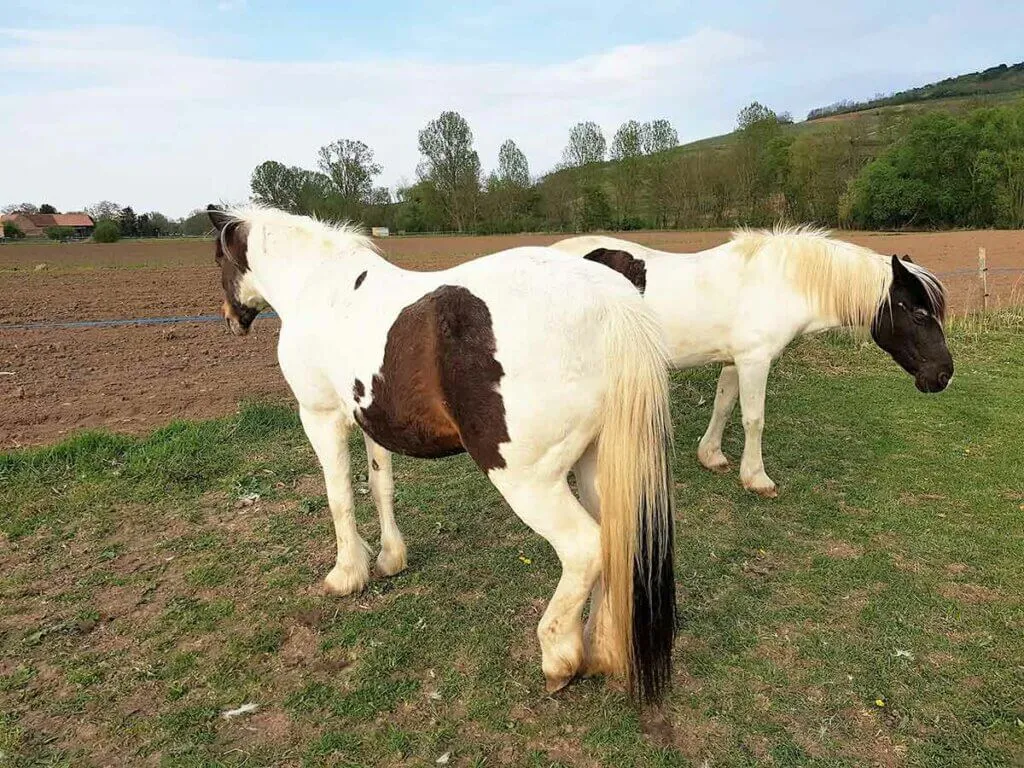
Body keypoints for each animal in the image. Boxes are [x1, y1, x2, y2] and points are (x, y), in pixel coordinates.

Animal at [207, 205, 675, 703]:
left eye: (218, 257)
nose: (231, 319)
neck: (319, 286)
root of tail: (609, 303)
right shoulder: (375, 423)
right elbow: (380, 486)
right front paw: (390, 559)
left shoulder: (320, 418)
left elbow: (339, 498)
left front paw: (346, 574)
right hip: (597, 465)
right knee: (615, 541)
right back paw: (601, 649)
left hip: (528, 481)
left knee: (585, 549)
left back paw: (559, 657)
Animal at [549, 228, 953, 497]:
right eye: (919, 314)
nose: (944, 375)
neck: (781, 283)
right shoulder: (755, 361)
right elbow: (754, 419)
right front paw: (756, 477)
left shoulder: (734, 361)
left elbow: (724, 405)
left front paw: (711, 455)